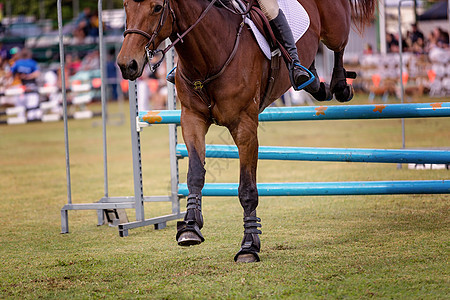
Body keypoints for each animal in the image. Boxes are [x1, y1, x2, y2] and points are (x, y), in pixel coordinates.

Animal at [117, 0, 376, 262]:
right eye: (126, 6)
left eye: (157, 8)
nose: (127, 64)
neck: (208, 58)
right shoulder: (192, 119)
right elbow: (195, 174)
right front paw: (190, 226)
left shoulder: (245, 127)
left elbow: (247, 189)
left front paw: (249, 246)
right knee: (311, 62)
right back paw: (312, 80)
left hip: (335, 29)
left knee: (339, 47)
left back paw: (340, 85)